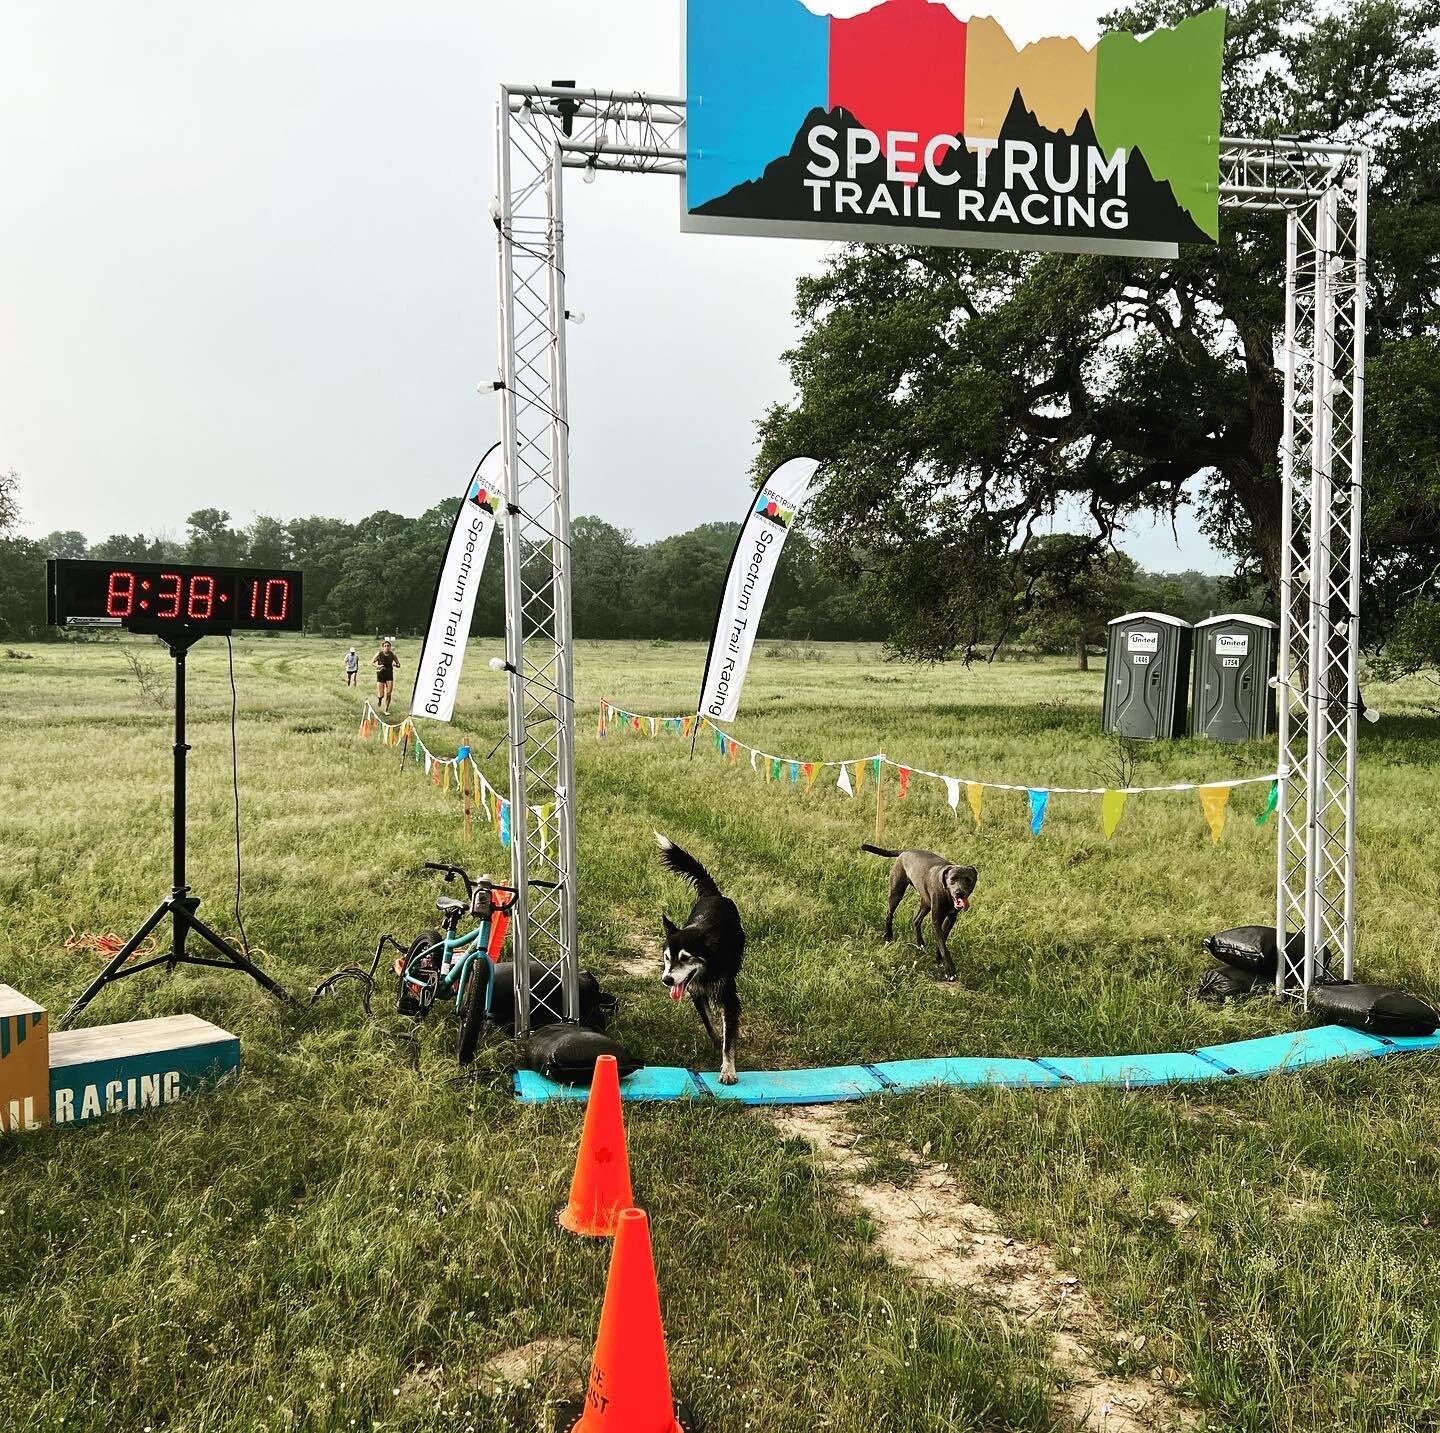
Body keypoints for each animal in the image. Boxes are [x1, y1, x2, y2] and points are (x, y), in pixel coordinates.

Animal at [653, 835, 743, 1083]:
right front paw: (716, 1042)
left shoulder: (729, 997)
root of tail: (714, 895)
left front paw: (728, 1070)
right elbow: (710, 1024)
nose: (667, 980)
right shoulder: (694, 992)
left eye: (686, 958)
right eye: (666, 958)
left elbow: (729, 1038)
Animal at [858, 846, 973, 979]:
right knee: (889, 914)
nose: (960, 893)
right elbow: (942, 944)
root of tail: (905, 851)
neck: (947, 895)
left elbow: (942, 941)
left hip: (925, 901)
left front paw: (939, 959)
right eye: (952, 879)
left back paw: (920, 944)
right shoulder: (936, 920)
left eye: (968, 880)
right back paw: (888, 936)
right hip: (897, 892)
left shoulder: (950, 918)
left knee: (916, 920)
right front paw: (950, 970)